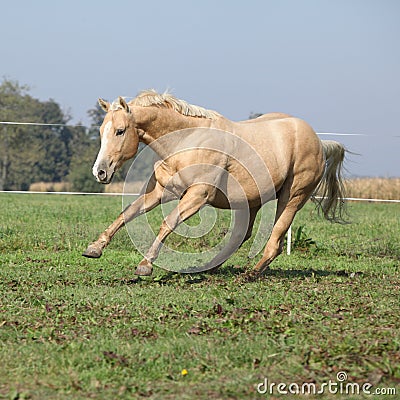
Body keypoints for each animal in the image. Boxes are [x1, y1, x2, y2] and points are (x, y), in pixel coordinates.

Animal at [83, 91, 346, 276]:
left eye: (120, 131)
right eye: (101, 131)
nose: (100, 172)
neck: (186, 141)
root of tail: (320, 143)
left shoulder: (198, 196)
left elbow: (168, 223)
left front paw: (145, 265)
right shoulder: (161, 191)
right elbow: (127, 213)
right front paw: (94, 248)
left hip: (292, 198)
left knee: (275, 240)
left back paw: (251, 273)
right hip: (250, 202)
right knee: (241, 235)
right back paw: (209, 267)